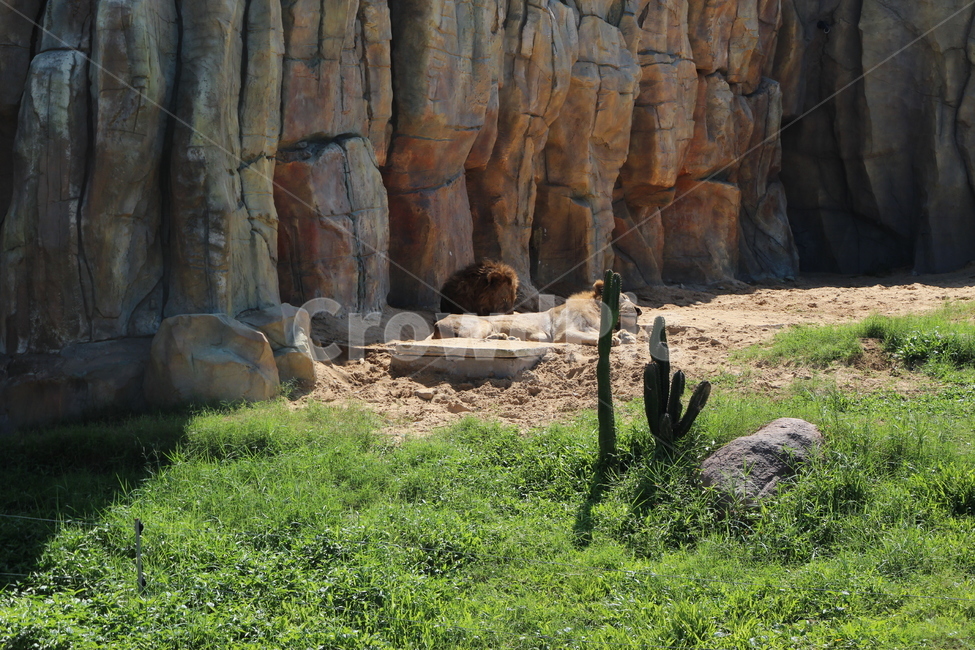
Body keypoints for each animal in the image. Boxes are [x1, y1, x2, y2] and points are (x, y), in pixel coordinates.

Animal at [433, 280, 643, 346]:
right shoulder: (563, 333)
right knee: (472, 339)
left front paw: (625, 336)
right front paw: (614, 339)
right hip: (482, 323)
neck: (597, 312)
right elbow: (595, 336)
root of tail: (436, 323)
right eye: (624, 297)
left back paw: (508, 338)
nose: (639, 310)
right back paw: (502, 338)